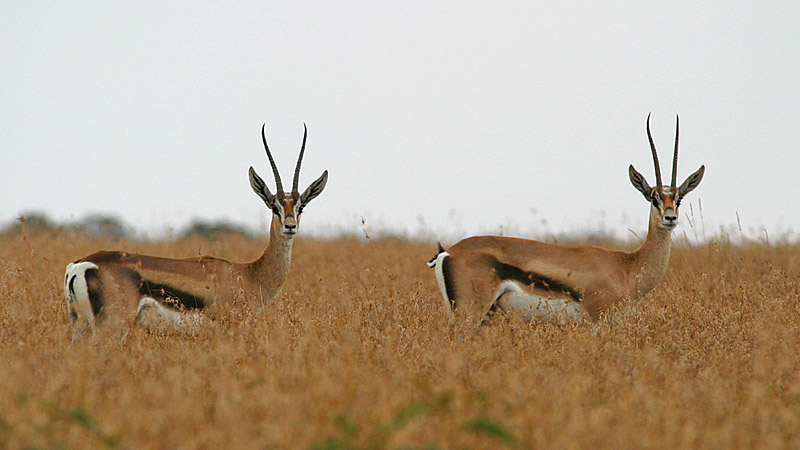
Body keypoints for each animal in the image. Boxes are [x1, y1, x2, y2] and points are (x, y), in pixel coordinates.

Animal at [61, 123, 324, 342]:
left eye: (301, 206)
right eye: (273, 206)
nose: (290, 226)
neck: (250, 274)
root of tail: (81, 265)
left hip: (80, 326)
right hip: (111, 326)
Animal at [428, 115, 704, 324]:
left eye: (678, 198)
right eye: (653, 198)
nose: (670, 218)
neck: (627, 266)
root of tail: (448, 252)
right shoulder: (598, 322)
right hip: (469, 314)